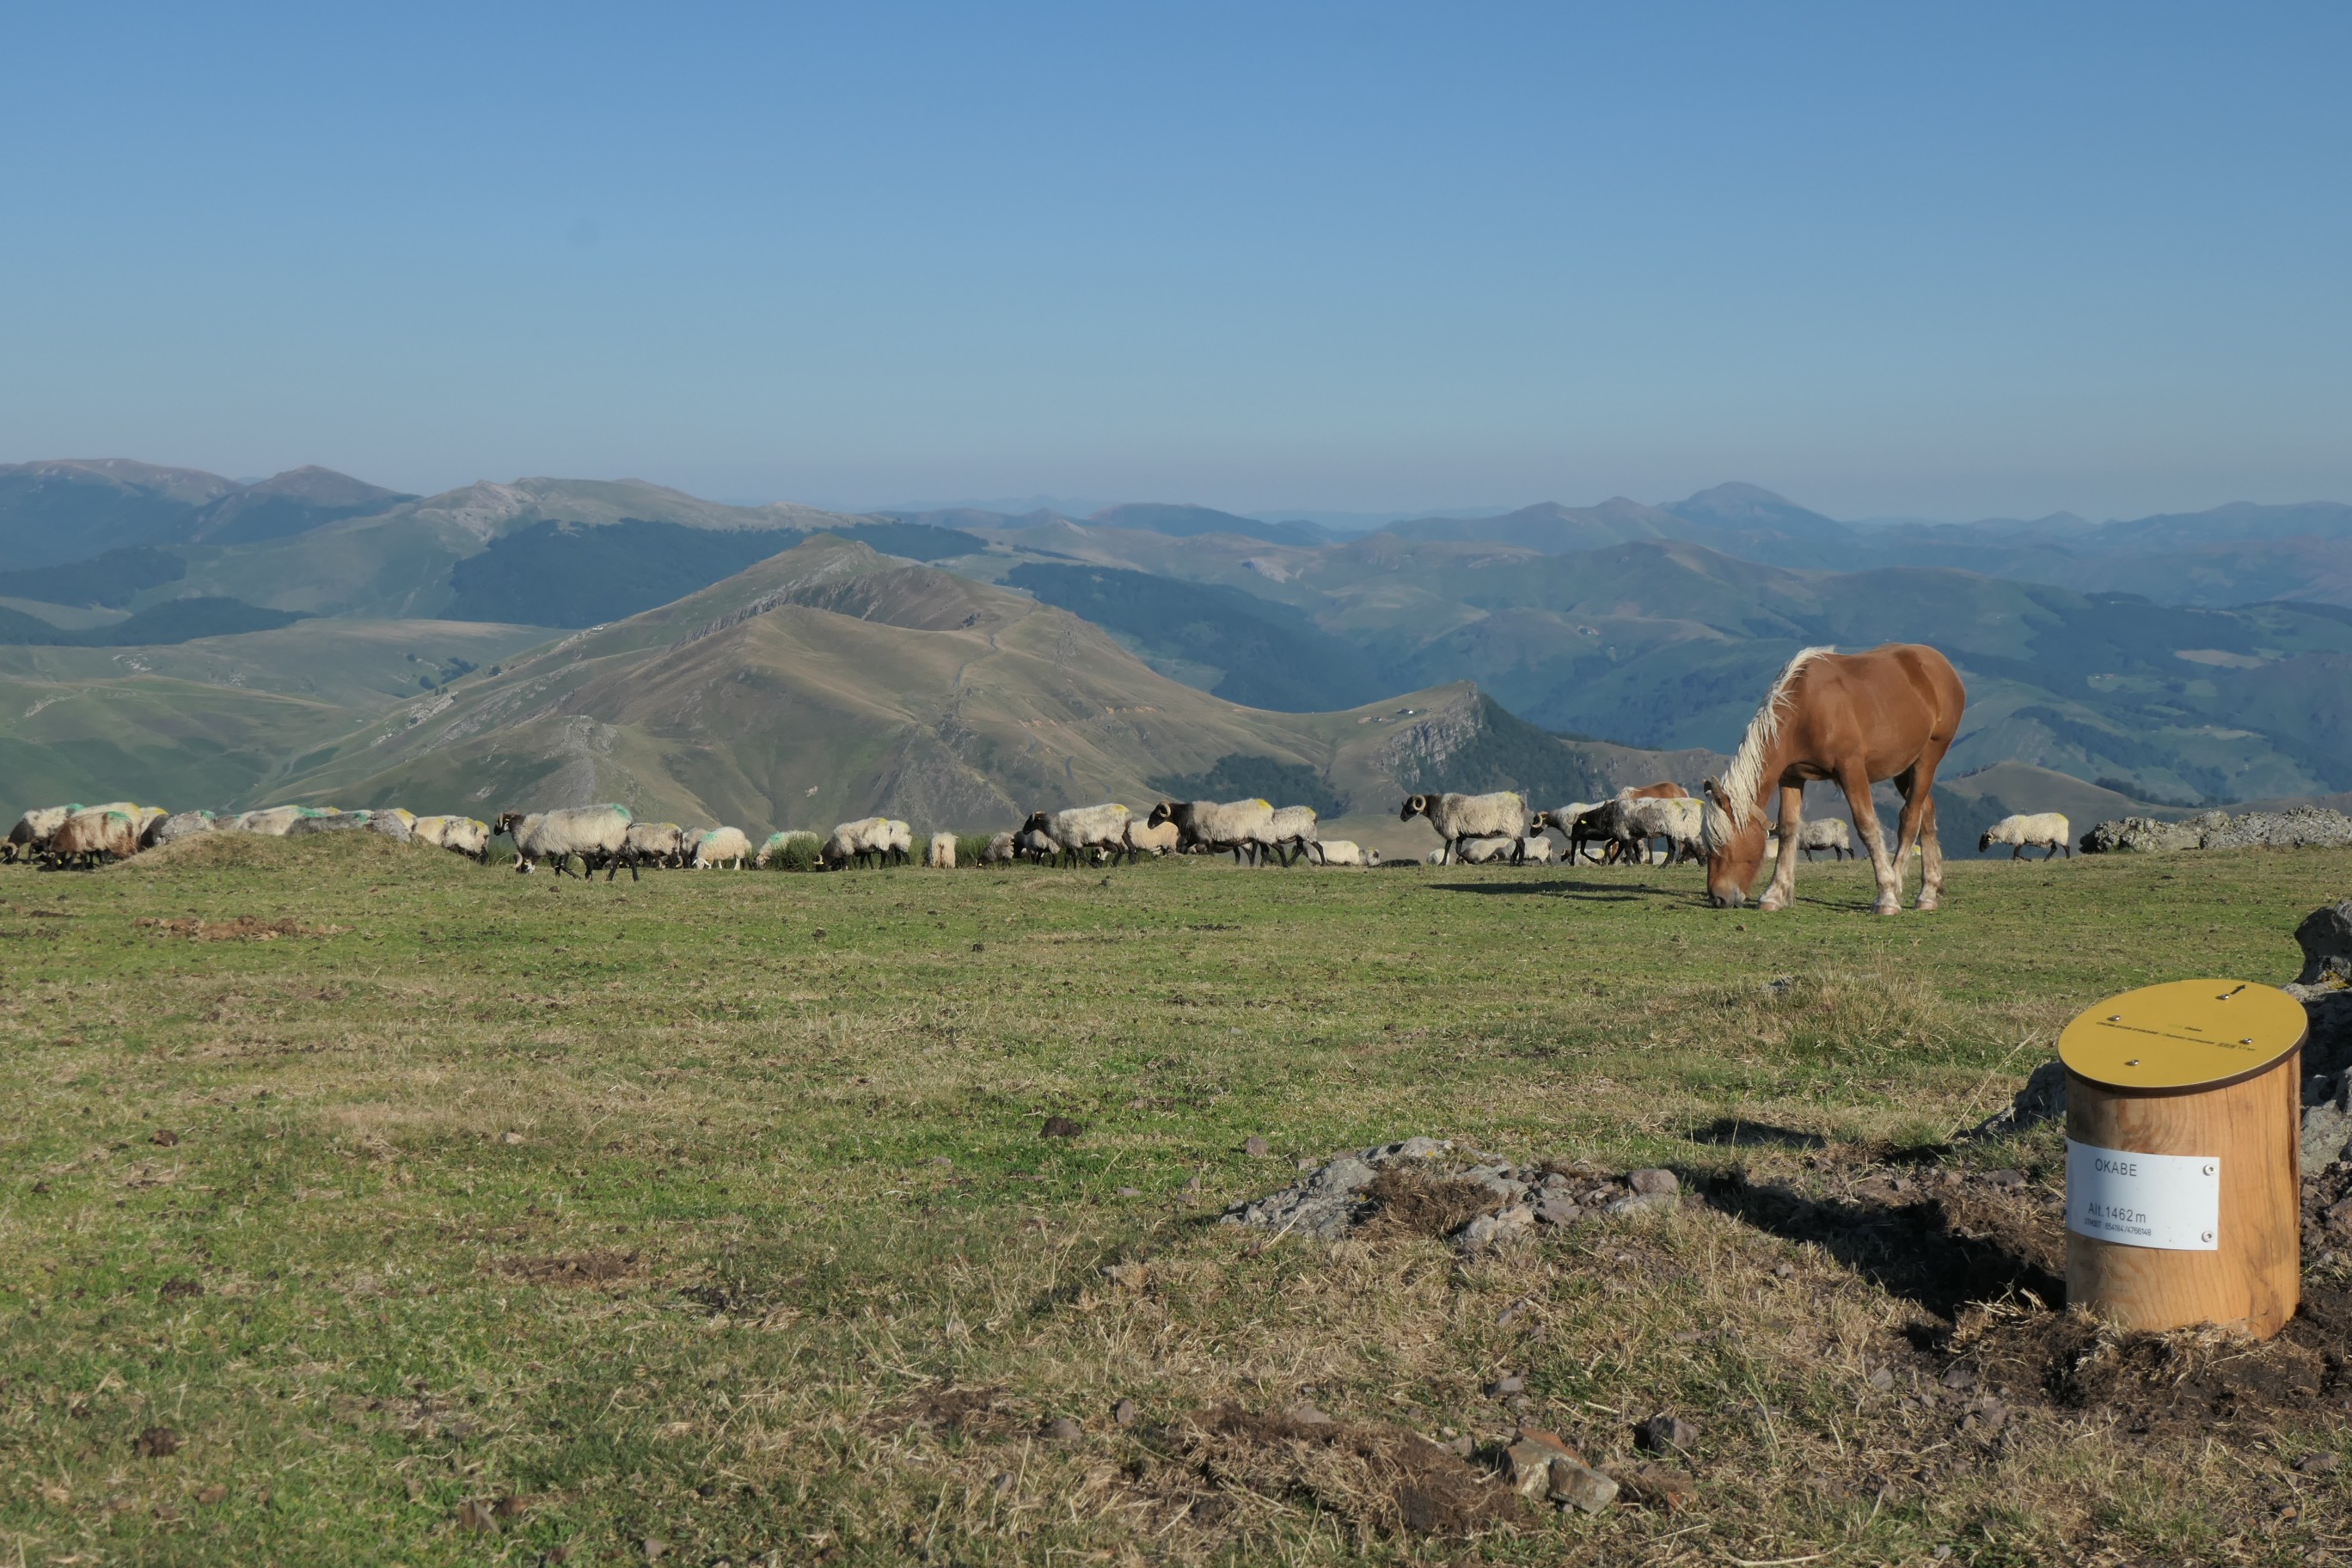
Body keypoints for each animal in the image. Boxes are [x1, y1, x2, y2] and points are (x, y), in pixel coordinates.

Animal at [1392, 789, 1523, 865]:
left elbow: (1447, 847)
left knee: (1521, 843)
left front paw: (1443, 863)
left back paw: (1520, 862)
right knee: (1517, 842)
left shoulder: (1450, 830)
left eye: (1410, 806)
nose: (1402, 817)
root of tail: (1521, 802)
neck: (1435, 806)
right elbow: (1458, 850)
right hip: (1513, 826)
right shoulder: (1460, 834)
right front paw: (1473, 861)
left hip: (1511, 824)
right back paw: (1513, 861)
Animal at [1712, 648, 1966, 921]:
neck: (1805, 708)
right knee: (1926, 813)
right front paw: (1775, 894)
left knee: (1910, 818)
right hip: (1904, 768)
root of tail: (1940, 664)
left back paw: (1896, 886)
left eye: (1723, 844)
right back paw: (1928, 892)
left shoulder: (1851, 770)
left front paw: (1886, 895)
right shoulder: (1791, 776)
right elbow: (1788, 829)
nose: (1717, 898)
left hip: (1927, 759)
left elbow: (1867, 826)